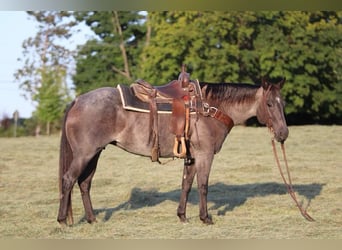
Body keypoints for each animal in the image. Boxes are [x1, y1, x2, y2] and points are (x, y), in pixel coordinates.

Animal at [56, 77, 288, 225]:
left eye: (282, 103)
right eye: (269, 104)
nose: (283, 133)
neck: (210, 108)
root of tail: (78, 100)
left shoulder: (192, 157)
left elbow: (186, 185)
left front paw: (182, 216)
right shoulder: (204, 155)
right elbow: (203, 186)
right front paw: (205, 218)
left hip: (94, 154)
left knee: (84, 184)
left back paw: (92, 219)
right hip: (85, 154)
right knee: (68, 180)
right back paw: (63, 220)